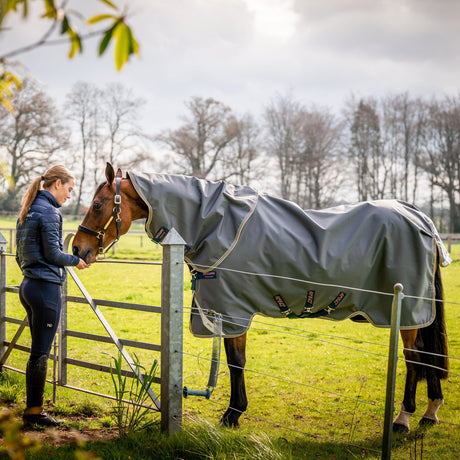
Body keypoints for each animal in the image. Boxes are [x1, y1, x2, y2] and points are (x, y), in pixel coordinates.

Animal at [72, 164, 450, 434]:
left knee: (416, 358)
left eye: (97, 204)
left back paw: (403, 419)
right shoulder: (227, 312)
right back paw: (430, 412)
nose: (77, 249)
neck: (217, 224)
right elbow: (235, 361)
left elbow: (235, 362)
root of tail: (421, 218)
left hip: (407, 310)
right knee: (428, 357)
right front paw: (234, 413)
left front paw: (231, 414)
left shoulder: (232, 311)